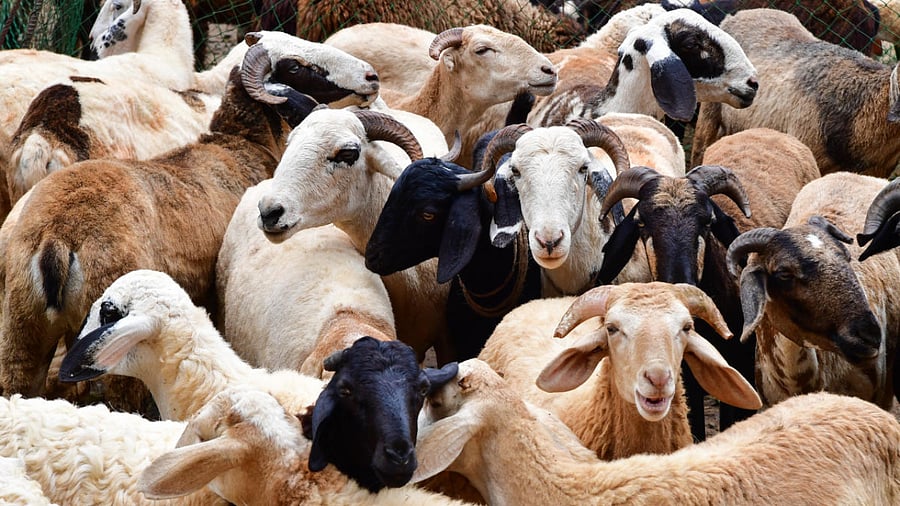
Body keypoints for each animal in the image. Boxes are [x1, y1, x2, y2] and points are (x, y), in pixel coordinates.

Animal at [0, 43, 347, 406]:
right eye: (293, 70)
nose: (318, 108)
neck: (239, 145)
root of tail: (58, 234)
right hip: (109, 339)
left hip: (22, 326)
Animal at [596, 129, 820, 439]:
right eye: (641, 222)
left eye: (707, 221)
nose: (679, 280)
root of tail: (766, 131)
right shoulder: (684, 372)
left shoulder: (740, 363)